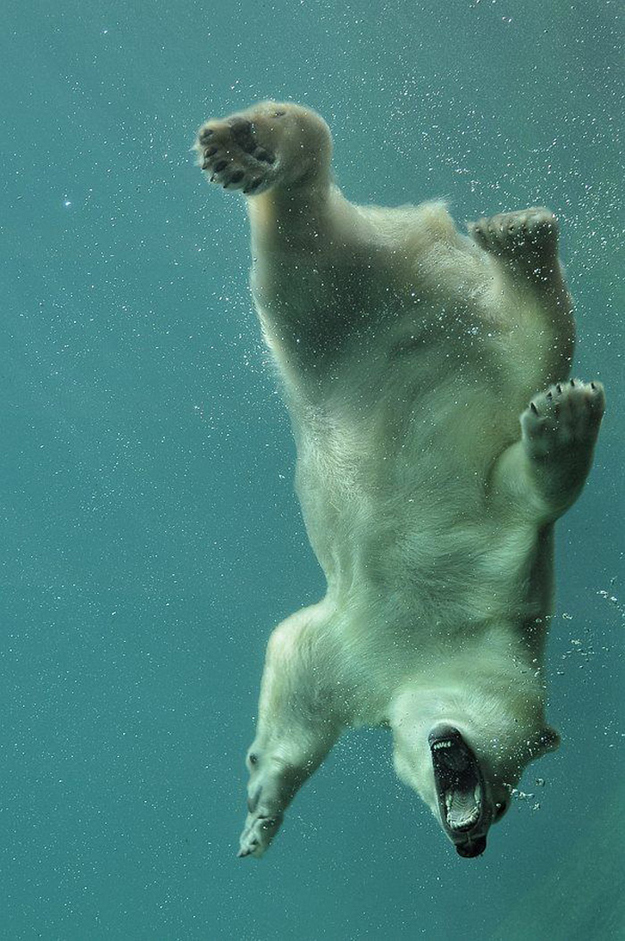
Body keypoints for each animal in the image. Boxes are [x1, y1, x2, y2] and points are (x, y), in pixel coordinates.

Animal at [195, 103, 604, 860]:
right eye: (505, 794)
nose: (472, 841)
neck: (441, 634)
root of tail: (422, 247)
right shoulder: (490, 564)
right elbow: (529, 489)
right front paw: (568, 416)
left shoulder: (367, 647)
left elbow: (294, 667)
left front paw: (259, 809)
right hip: (355, 318)